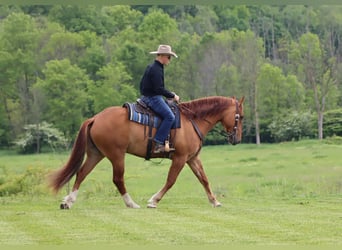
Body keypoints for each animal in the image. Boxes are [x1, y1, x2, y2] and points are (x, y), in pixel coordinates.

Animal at [49, 95, 244, 209]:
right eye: (240, 117)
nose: (237, 139)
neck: (192, 120)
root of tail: (95, 118)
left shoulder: (192, 158)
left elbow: (204, 179)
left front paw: (214, 201)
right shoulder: (180, 158)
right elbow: (171, 180)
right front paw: (154, 200)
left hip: (96, 154)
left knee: (81, 173)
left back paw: (68, 201)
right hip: (116, 155)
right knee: (117, 179)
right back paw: (131, 203)